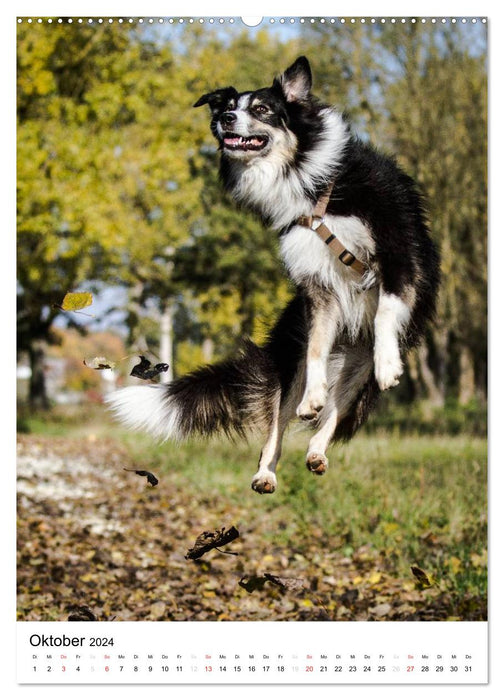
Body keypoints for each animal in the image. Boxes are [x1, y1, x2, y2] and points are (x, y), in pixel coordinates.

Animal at [108, 57, 440, 494]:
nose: (226, 119)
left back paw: (317, 450)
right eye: (228, 107)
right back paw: (268, 469)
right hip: (293, 357)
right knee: (281, 418)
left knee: (336, 409)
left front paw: (388, 363)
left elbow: (386, 311)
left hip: (357, 368)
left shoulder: (398, 253)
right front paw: (312, 398)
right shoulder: (318, 288)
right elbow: (315, 350)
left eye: (263, 109)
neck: (313, 188)